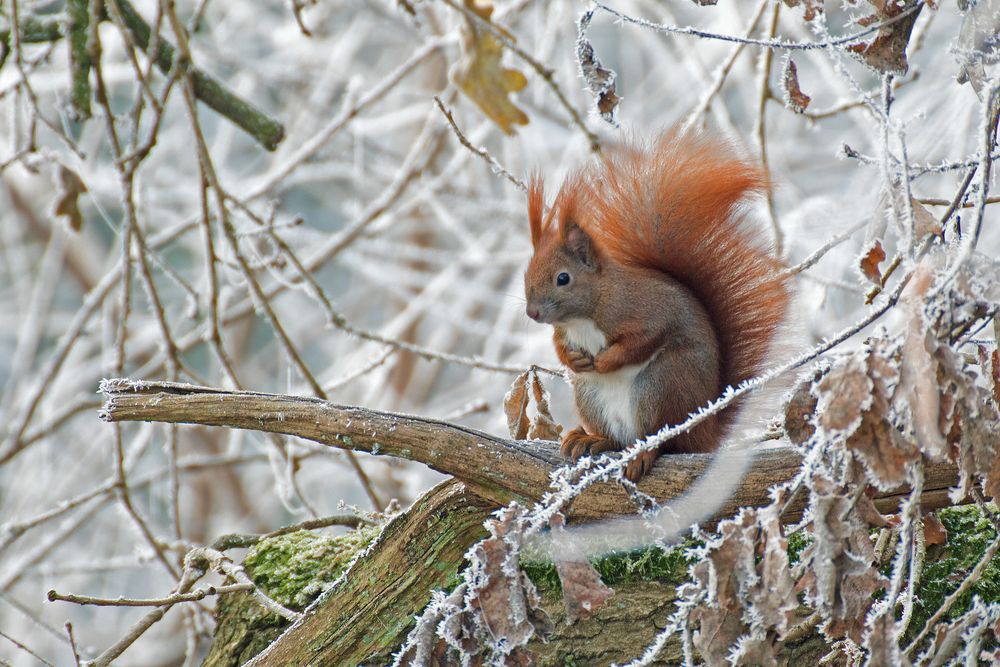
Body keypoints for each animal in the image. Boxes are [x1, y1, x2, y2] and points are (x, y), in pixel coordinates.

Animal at [524, 130, 788, 482]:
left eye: (563, 278)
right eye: (526, 273)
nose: (533, 313)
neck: (585, 314)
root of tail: (704, 432)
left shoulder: (646, 311)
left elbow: (643, 339)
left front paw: (607, 361)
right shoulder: (564, 333)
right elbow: (559, 345)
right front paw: (574, 359)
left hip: (661, 385)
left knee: (664, 442)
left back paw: (643, 452)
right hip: (591, 395)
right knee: (618, 438)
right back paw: (592, 439)